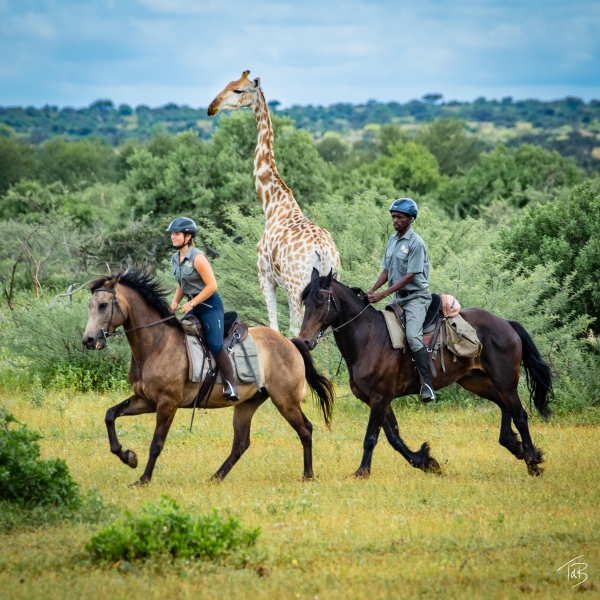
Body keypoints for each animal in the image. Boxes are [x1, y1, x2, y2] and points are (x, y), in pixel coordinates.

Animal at [80, 270, 336, 486]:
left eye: (103, 305)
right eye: (90, 305)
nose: (88, 340)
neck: (156, 344)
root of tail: (290, 343)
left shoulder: (167, 403)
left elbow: (156, 443)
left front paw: (143, 479)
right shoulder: (146, 400)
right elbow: (110, 415)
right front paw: (128, 457)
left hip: (285, 400)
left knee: (305, 429)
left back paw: (308, 475)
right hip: (248, 404)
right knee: (241, 443)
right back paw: (216, 477)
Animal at [207, 71, 340, 336]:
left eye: (238, 90)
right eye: (228, 84)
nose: (212, 107)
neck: (273, 204)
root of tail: (324, 251)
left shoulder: (265, 276)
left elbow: (275, 326)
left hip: (297, 287)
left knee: (297, 330)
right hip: (335, 280)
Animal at [296, 270, 552, 478]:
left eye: (321, 302)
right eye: (305, 302)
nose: (305, 341)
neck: (368, 337)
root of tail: (506, 324)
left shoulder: (379, 398)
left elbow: (371, 437)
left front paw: (362, 471)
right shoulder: (378, 400)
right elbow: (394, 438)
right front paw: (425, 461)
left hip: (504, 381)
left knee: (520, 415)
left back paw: (532, 462)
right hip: (476, 381)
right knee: (505, 406)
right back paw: (515, 446)